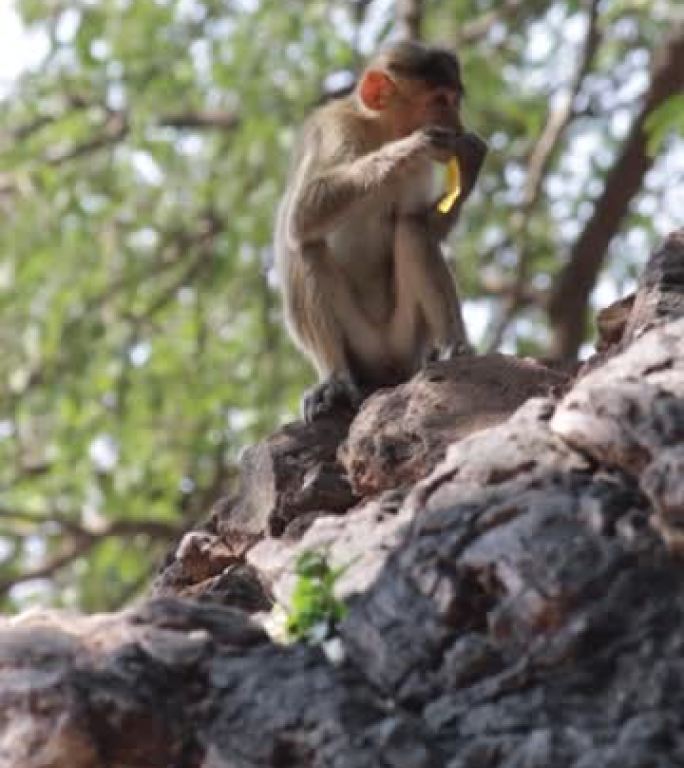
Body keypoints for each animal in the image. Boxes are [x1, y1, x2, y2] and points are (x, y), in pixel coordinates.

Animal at [274, 39, 486, 424]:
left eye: (454, 101)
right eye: (440, 101)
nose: (457, 125)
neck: (377, 131)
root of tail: (386, 371)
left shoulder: (420, 172)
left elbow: (420, 220)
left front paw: (470, 163)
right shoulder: (334, 129)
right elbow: (302, 214)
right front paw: (418, 143)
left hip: (406, 338)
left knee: (413, 229)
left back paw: (453, 348)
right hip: (361, 346)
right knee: (307, 245)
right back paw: (335, 379)